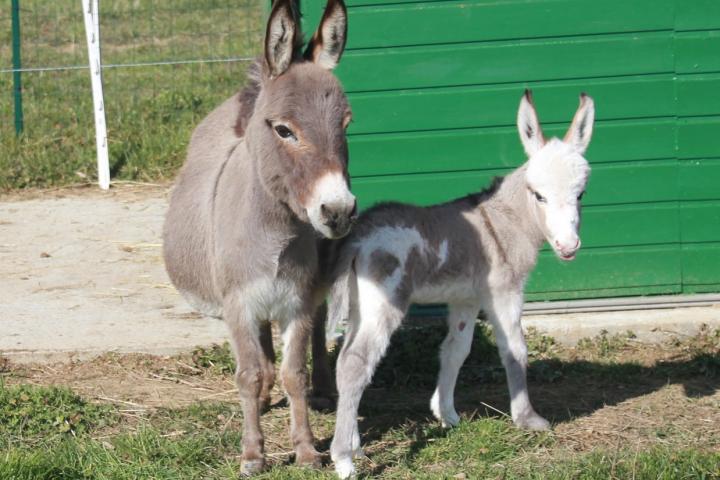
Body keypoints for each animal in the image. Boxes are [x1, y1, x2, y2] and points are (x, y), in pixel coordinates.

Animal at [330, 92, 592, 478]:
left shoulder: (466, 298)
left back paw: (355, 446)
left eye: (581, 194)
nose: (568, 247)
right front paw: (528, 419)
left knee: (345, 363)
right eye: (538, 195)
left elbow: (456, 349)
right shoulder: (504, 292)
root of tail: (357, 236)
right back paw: (343, 461)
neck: (506, 219)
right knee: (355, 365)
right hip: (384, 303)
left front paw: (447, 414)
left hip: (359, 304)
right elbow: (515, 350)